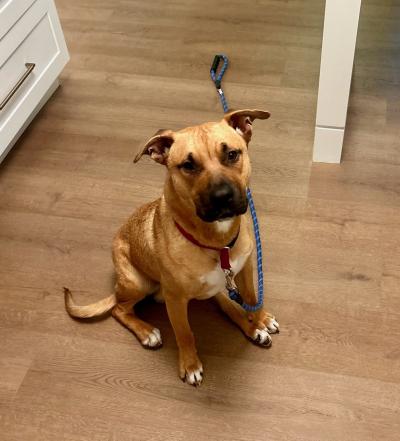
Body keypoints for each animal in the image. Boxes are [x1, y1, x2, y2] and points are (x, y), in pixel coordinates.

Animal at [65, 108, 278, 384]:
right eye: (188, 165)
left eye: (232, 154)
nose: (222, 197)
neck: (216, 244)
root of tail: (118, 287)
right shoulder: (175, 300)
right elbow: (184, 333)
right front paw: (190, 365)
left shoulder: (245, 268)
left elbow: (252, 298)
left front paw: (258, 319)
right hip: (138, 283)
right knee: (119, 310)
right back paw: (147, 332)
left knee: (226, 302)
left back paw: (253, 327)